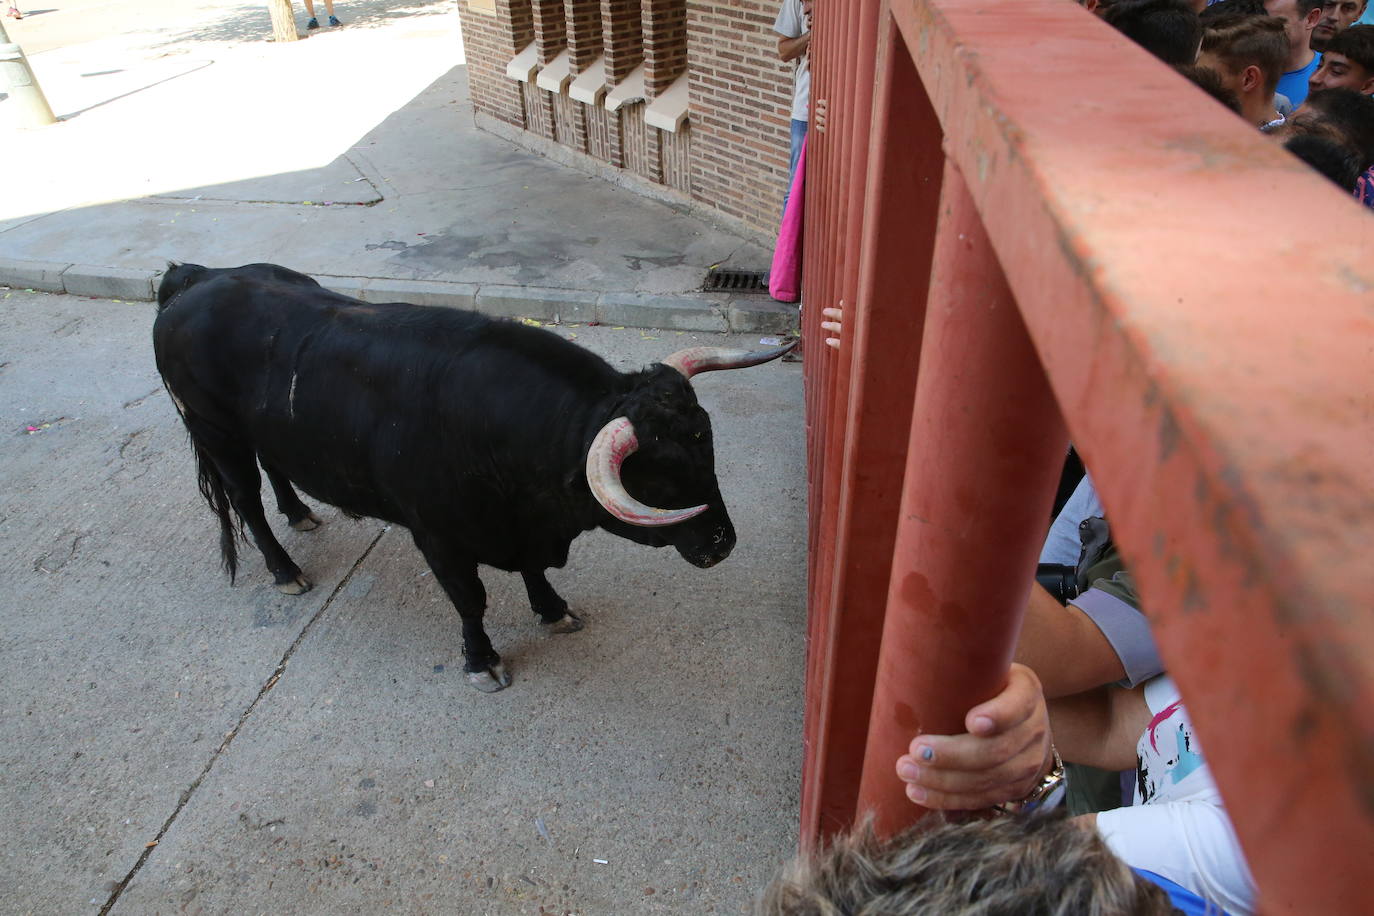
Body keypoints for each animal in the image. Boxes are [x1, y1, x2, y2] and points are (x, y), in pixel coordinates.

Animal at [150, 260, 796, 692]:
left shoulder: (522, 525)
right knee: (246, 500)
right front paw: (481, 660)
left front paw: (553, 609)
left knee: (275, 469)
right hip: (218, 433)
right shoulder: (438, 537)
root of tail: (197, 278)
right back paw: (285, 569)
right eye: (657, 476)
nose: (723, 543)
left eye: (707, 445)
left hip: (262, 433)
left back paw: (301, 513)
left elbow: (533, 571)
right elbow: (471, 600)